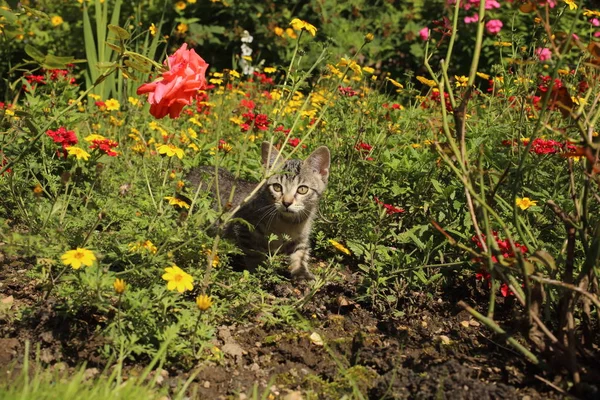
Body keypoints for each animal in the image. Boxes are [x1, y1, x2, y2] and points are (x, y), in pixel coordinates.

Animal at [186, 142, 330, 280]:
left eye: (302, 189)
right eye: (277, 187)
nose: (286, 203)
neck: (288, 223)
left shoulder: (301, 238)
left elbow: (300, 255)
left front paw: (302, 273)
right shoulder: (244, 227)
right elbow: (254, 255)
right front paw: (258, 273)